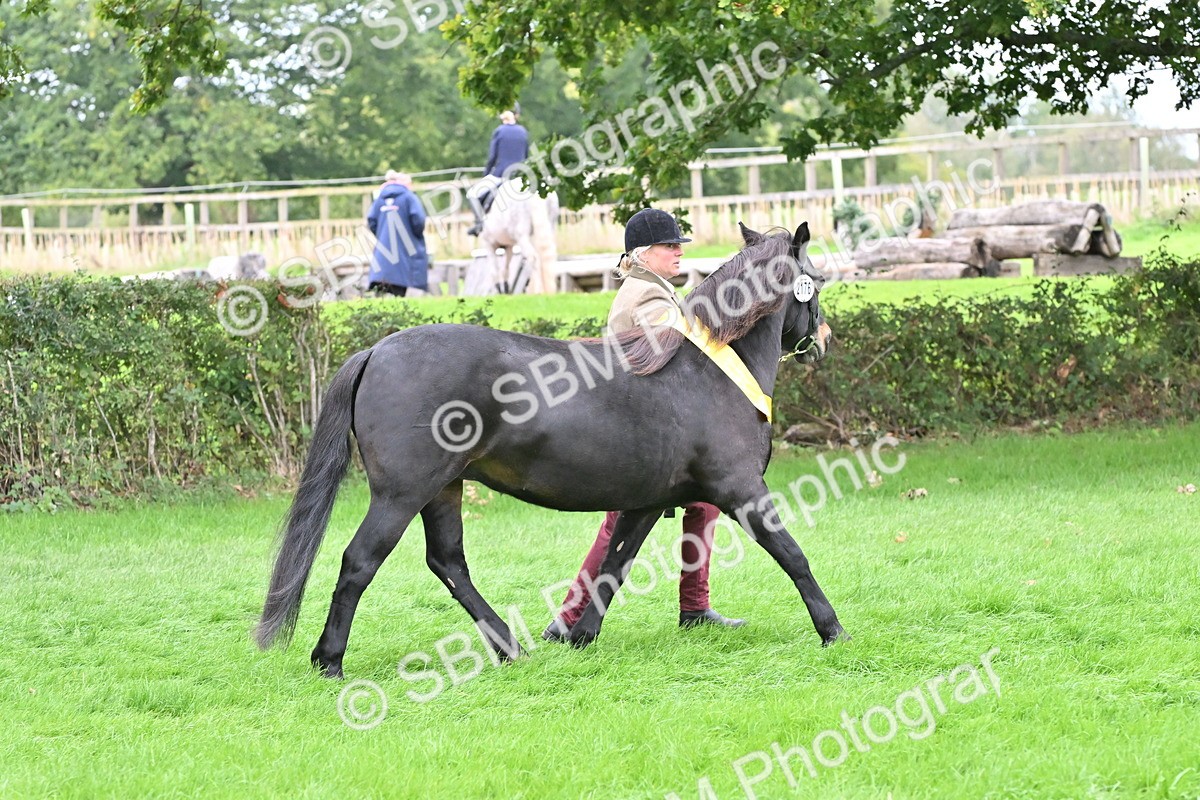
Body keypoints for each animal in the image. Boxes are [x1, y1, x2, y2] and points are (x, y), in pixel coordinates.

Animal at [254, 222, 846, 678]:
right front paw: (832, 628)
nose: (823, 340)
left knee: (448, 562)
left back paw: (508, 646)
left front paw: (580, 635)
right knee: (360, 561)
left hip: (444, 489)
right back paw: (329, 661)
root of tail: (377, 350)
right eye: (816, 280)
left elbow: (615, 563)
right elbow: (792, 554)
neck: (708, 370)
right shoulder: (741, 489)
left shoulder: (648, 501)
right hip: (401, 494)